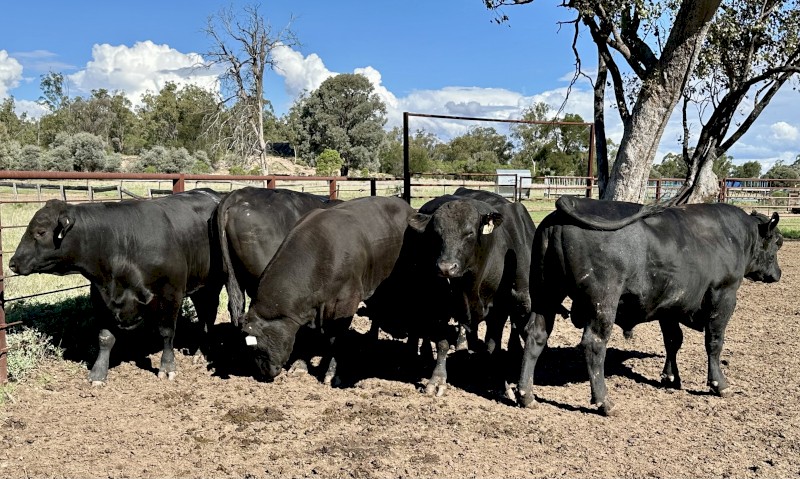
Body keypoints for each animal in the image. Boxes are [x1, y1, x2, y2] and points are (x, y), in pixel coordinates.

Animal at [8, 188, 224, 385]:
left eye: (41, 232)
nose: (12, 263)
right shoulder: (100, 296)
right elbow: (105, 338)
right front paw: (98, 374)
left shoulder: (171, 293)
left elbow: (166, 332)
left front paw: (167, 367)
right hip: (199, 287)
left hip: (212, 285)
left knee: (208, 317)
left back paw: (200, 353)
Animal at [240, 195, 415, 385]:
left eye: (257, 347)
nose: (264, 372)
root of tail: (404, 205)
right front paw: (299, 365)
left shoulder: (345, 303)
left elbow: (335, 338)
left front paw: (332, 373)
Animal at [516, 195, 783, 416]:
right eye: (777, 242)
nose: (778, 274)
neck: (734, 236)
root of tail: (570, 204)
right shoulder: (724, 294)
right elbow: (714, 342)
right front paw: (720, 384)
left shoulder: (670, 304)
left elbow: (673, 341)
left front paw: (670, 377)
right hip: (603, 301)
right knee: (594, 344)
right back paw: (605, 402)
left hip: (545, 294)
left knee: (536, 336)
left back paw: (526, 395)